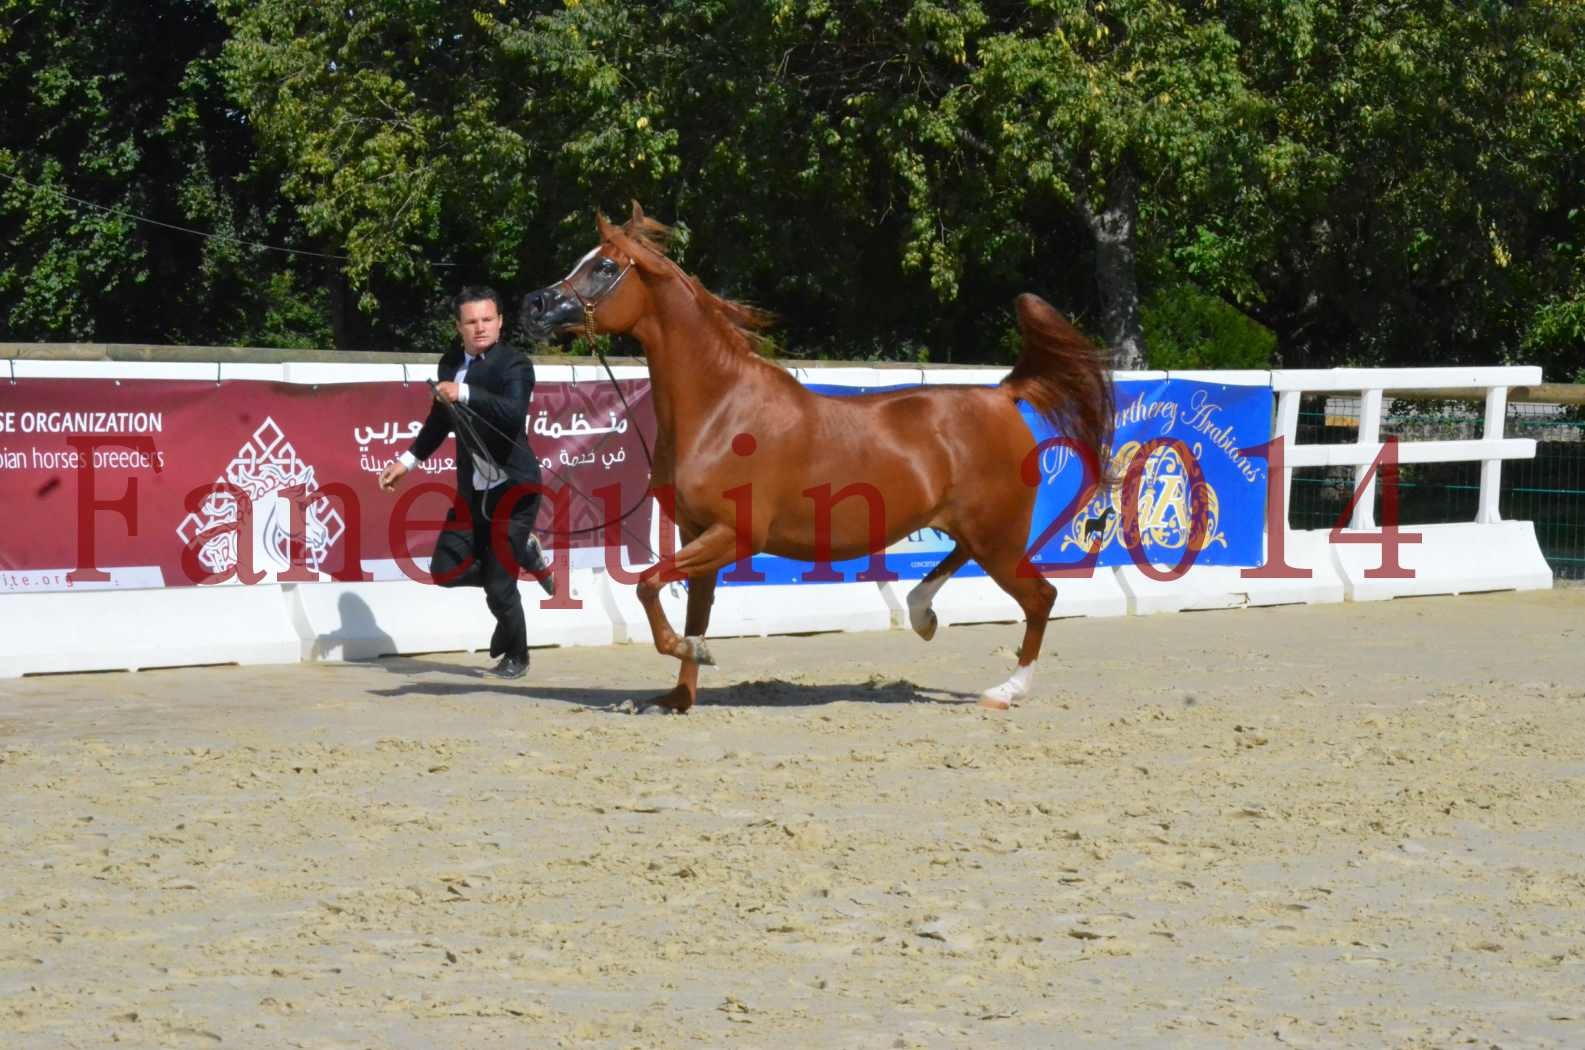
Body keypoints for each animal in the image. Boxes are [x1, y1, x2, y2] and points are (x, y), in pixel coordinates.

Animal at [523, 206, 1115, 716]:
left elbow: (648, 585)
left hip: (997, 535)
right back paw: (922, 612)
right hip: (975, 529)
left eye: (603, 265)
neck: (720, 410)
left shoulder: (734, 535)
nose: (534, 305)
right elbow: (695, 613)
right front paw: (676, 697)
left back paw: (1006, 689)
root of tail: (1004, 394)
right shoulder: (697, 535)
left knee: (1041, 596)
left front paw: (694, 657)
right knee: (967, 566)